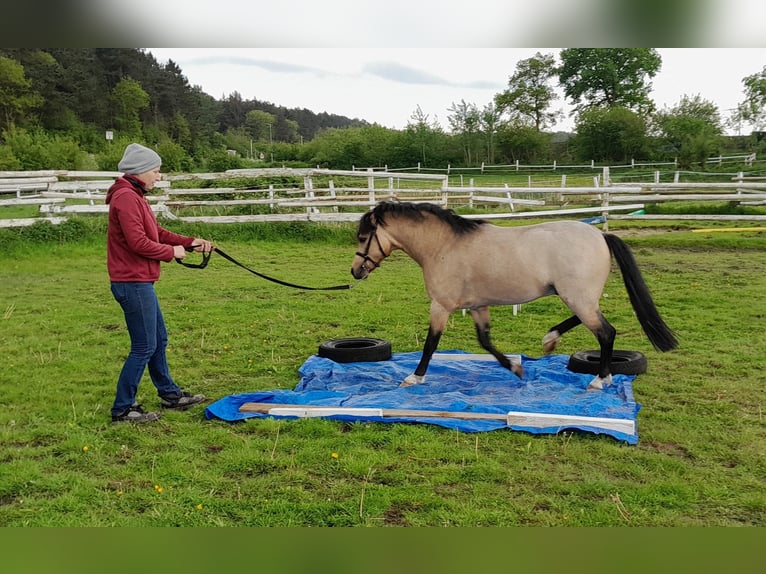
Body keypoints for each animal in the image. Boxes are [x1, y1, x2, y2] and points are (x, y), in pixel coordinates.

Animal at [350, 201, 680, 392]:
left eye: (363, 237)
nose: (355, 271)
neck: (444, 246)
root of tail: (600, 234)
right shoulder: (478, 306)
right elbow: (485, 342)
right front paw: (517, 368)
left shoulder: (441, 306)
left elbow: (430, 344)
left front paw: (414, 377)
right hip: (578, 297)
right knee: (593, 324)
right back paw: (552, 339)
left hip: (577, 297)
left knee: (606, 332)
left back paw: (600, 379)